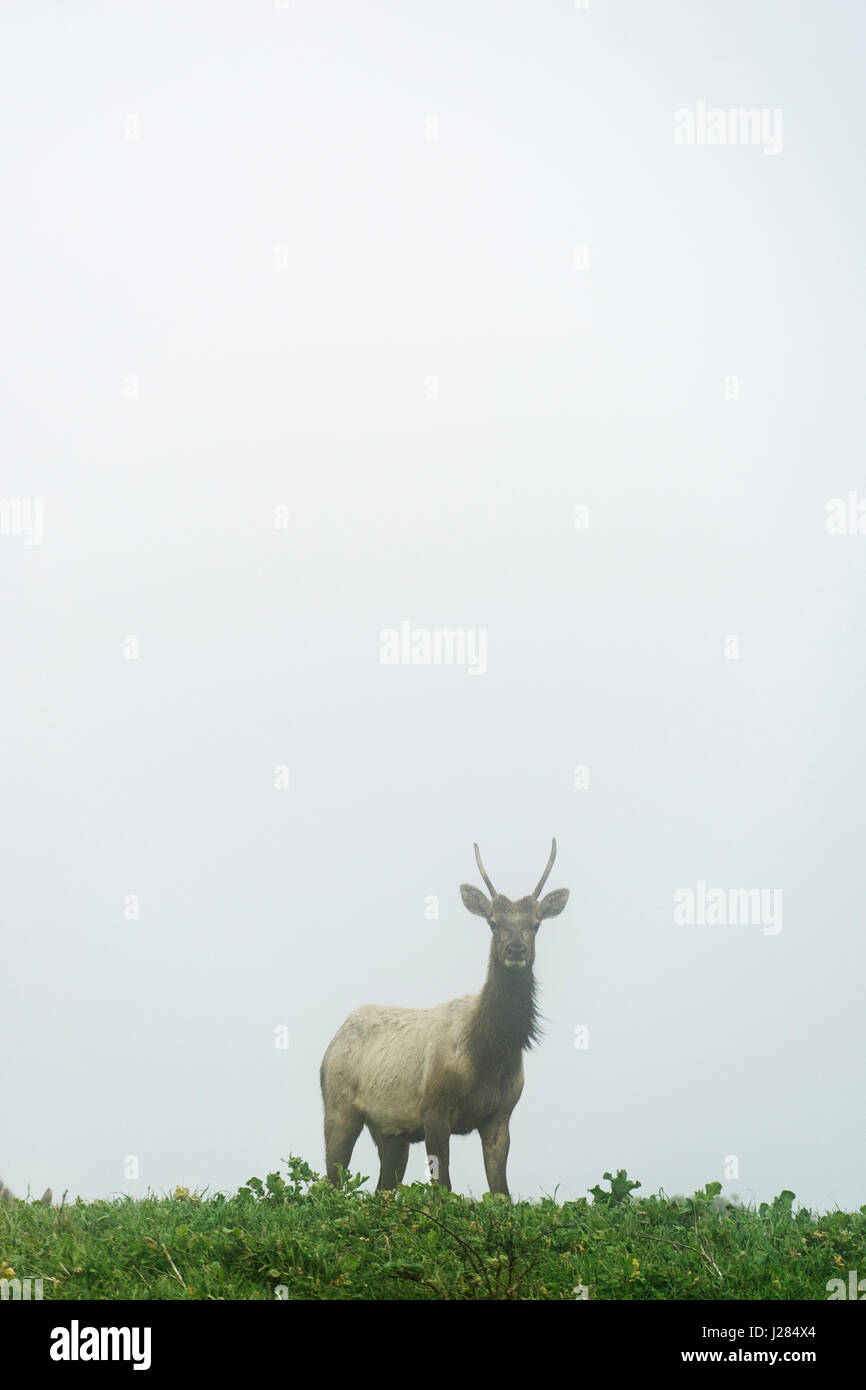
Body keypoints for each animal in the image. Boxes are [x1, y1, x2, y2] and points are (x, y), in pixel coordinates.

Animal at [318, 834, 569, 1195]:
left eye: (535, 924)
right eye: (493, 923)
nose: (516, 949)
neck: (488, 1055)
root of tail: (334, 1040)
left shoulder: (501, 1115)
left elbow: (501, 1193)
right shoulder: (433, 1108)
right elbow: (443, 1190)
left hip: (391, 1131)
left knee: (382, 1188)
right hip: (338, 1106)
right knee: (330, 1182)